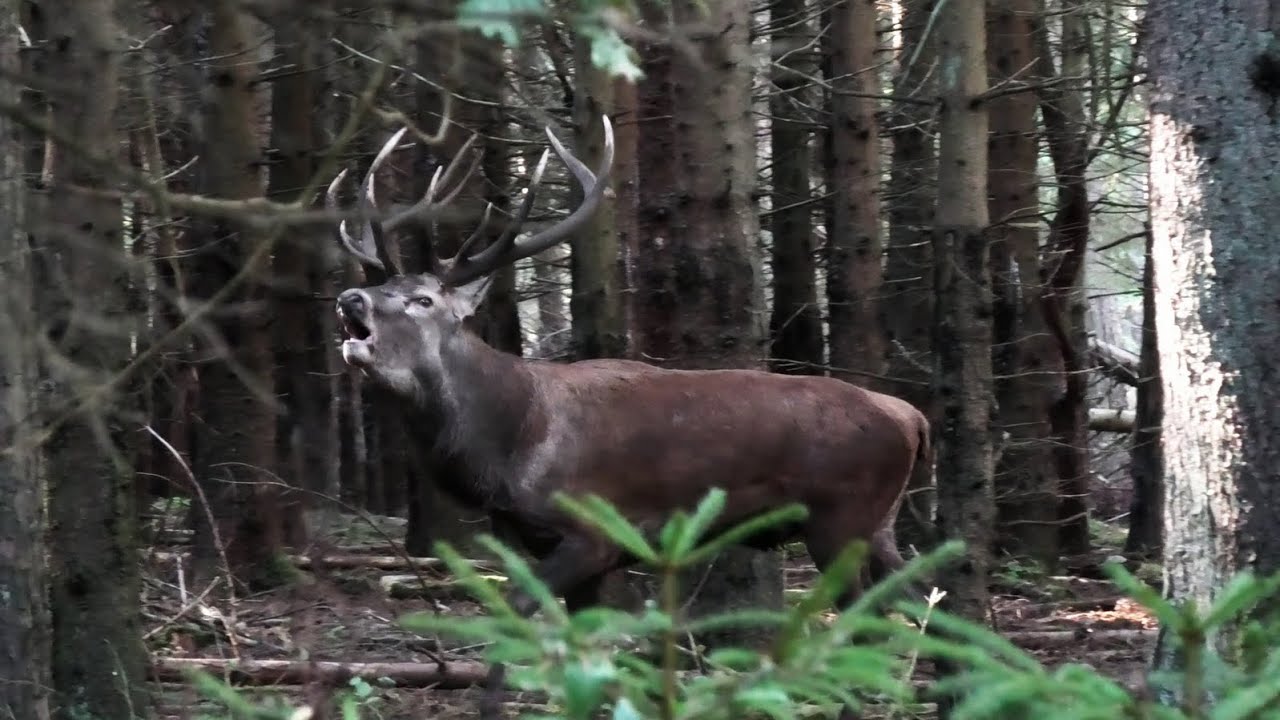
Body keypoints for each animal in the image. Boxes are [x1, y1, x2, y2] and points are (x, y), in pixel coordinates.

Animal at [325, 114, 933, 717]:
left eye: (423, 300)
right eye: (383, 284)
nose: (351, 297)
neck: (509, 446)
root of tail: (912, 416)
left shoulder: (592, 533)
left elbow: (518, 613)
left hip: (841, 516)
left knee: (863, 623)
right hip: (879, 523)